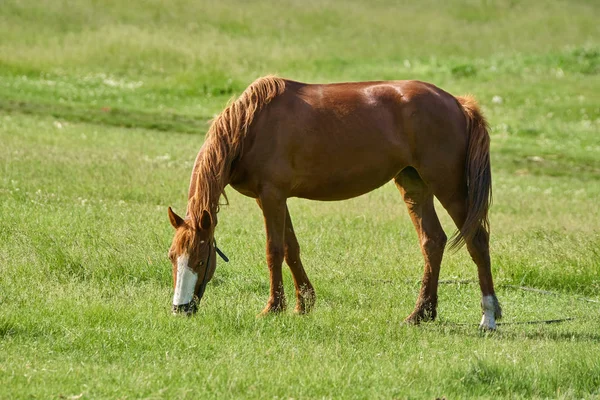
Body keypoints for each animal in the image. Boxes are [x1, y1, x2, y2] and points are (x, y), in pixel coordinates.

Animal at [165, 76, 502, 330]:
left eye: (200, 259)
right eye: (172, 257)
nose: (180, 309)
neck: (252, 126)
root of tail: (458, 103)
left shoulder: (272, 195)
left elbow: (274, 251)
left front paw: (274, 307)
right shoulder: (274, 198)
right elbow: (291, 248)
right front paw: (304, 303)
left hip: (450, 188)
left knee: (477, 241)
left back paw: (488, 317)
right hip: (414, 184)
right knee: (432, 241)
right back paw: (421, 313)